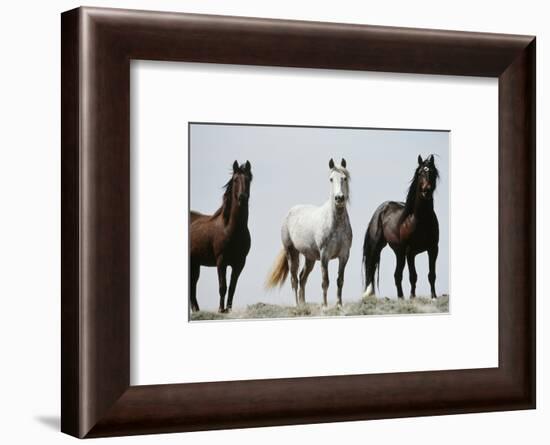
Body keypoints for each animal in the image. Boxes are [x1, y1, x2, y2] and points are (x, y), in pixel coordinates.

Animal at [191, 160, 253, 312]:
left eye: (248, 179)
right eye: (235, 179)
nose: (242, 197)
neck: (231, 229)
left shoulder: (239, 264)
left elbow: (232, 288)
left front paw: (228, 310)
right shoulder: (221, 261)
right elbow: (222, 287)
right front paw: (220, 309)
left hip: (195, 263)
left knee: (193, 285)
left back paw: (196, 310)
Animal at [268, 157, 354, 306]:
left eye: (344, 178)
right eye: (331, 179)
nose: (339, 198)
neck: (335, 223)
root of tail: (289, 212)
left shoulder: (344, 255)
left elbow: (340, 281)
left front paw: (339, 305)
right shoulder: (325, 256)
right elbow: (325, 281)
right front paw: (325, 306)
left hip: (310, 258)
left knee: (302, 278)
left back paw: (303, 304)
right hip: (292, 253)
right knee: (294, 279)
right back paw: (297, 305)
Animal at [364, 155, 442, 298]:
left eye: (433, 172)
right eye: (420, 172)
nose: (426, 191)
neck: (420, 220)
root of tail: (381, 209)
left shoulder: (433, 249)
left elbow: (431, 275)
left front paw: (433, 296)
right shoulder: (410, 252)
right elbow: (413, 276)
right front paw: (412, 297)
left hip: (399, 252)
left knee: (397, 275)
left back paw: (401, 297)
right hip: (379, 248)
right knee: (372, 269)